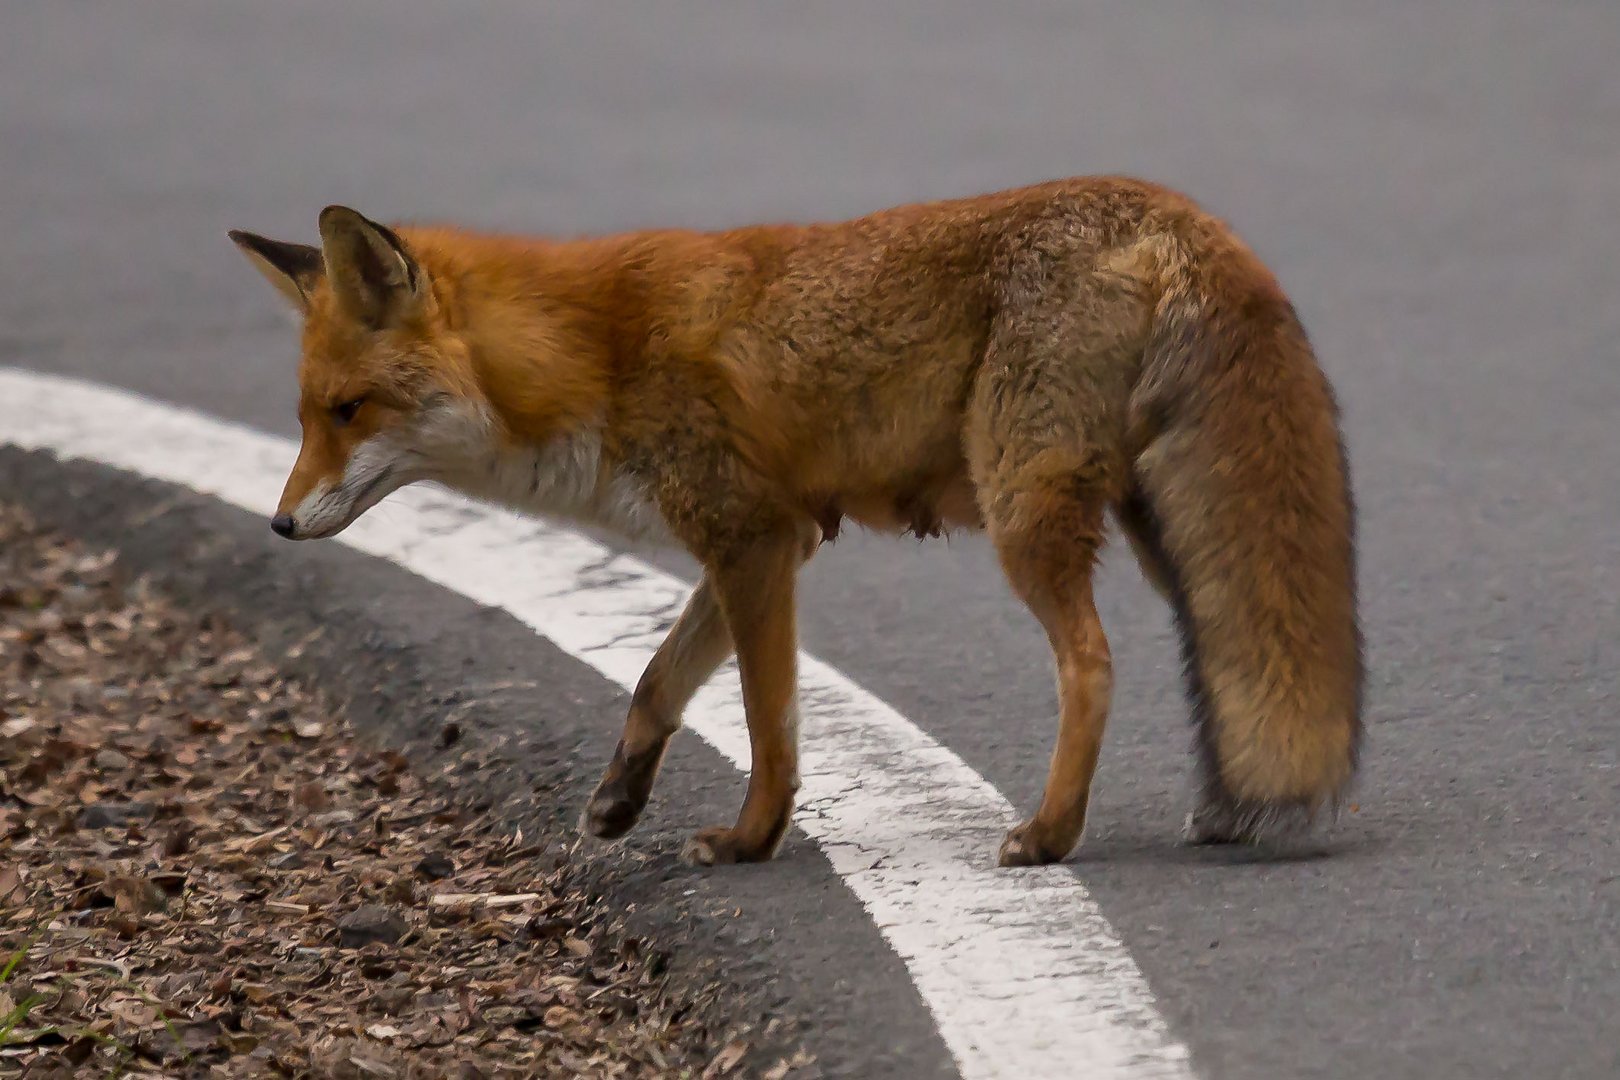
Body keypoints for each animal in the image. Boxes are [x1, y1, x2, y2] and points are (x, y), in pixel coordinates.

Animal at [228, 177, 1360, 867]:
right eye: (305, 415)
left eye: (348, 412)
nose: (275, 527)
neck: (596, 355)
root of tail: (1173, 209)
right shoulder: (756, 538)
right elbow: (657, 681)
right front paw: (619, 799)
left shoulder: (755, 541)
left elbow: (768, 723)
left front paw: (752, 839)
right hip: (1165, 533)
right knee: (1233, 649)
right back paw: (1223, 813)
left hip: (1025, 518)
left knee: (1094, 665)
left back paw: (1048, 833)